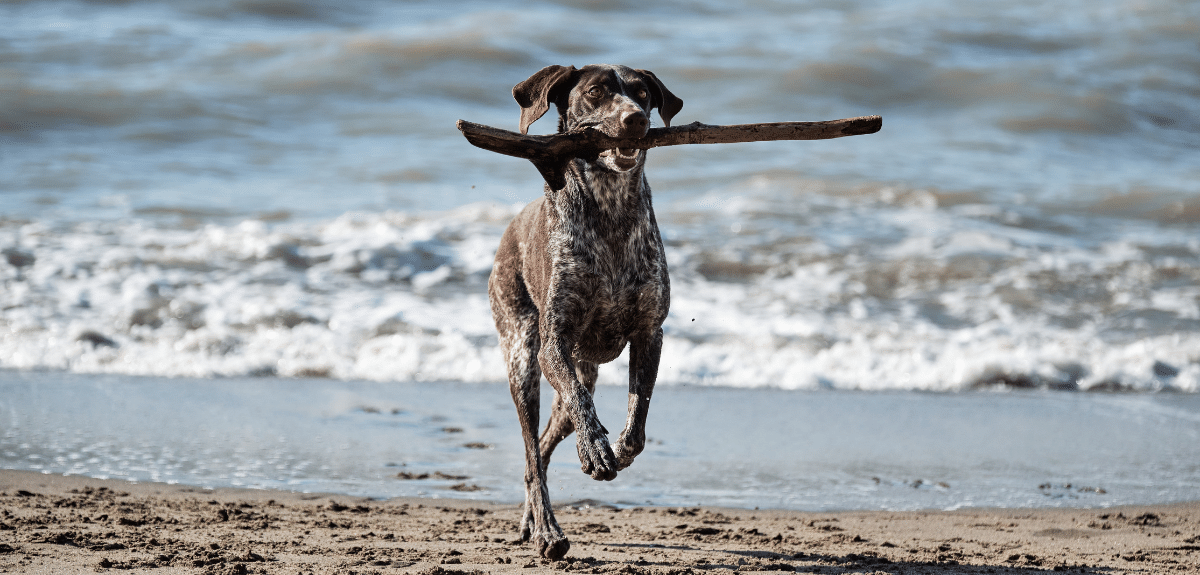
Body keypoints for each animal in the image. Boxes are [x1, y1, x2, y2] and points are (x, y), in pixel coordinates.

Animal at [487, 65, 686, 559]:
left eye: (642, 93)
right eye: (596, 92)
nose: (636, 120)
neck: (611, 209)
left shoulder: (650, 333)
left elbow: (637, 417)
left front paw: (619, 449)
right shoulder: (553, 344)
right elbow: (584, 409)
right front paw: (596, 449)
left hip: (576, 373)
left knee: (543, 446)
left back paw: (532, 520)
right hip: (524, 359)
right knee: (532, 451)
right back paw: (547, 531)